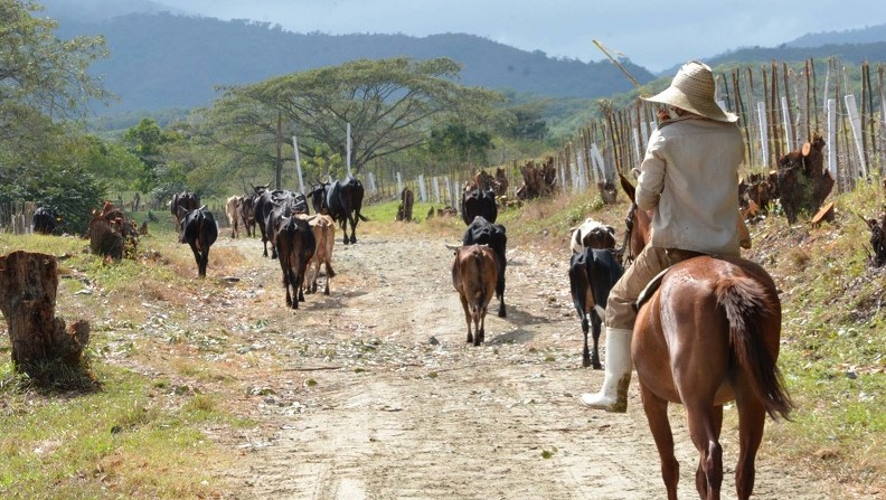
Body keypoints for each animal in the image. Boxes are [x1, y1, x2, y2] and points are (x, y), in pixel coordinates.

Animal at [620, 176, 796, 500]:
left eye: (628, 222)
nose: (625, 254)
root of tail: (725, 279)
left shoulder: (652, 398)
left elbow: (670, 467)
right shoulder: (716, 404)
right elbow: (698, 477)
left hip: (695, 401)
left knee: (712, 457)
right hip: (749, 396)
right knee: (743, 467)